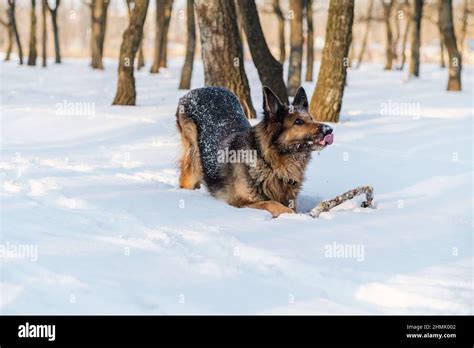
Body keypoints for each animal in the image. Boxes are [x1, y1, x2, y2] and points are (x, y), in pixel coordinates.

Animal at [176, 86, 336, 218]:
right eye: (298, 122)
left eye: (311, 118)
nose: (329, 129)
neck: (269, 162)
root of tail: (199, 90)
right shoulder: (238, 202)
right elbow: (271, 203)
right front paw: (294, 216)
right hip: (193, 158)